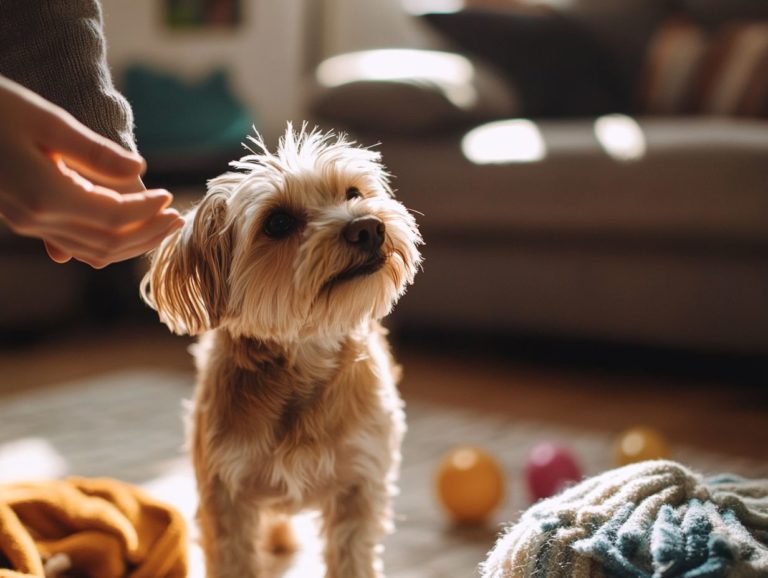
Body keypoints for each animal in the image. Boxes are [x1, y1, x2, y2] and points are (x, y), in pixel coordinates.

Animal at [141, 126, 424, 576]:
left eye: (353, 193)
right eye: (277, 223)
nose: (368, 227)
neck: (304, 355)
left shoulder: (360, 485)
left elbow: (352, 557)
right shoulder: (226, 496)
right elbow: (235, 560)